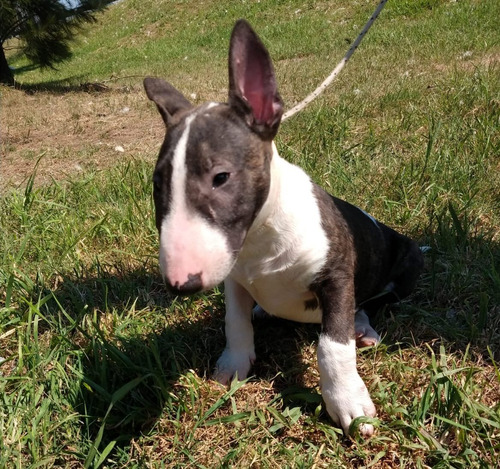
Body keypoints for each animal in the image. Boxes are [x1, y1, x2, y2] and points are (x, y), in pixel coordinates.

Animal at [144, 18, 422, 436]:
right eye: (158, 184)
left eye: (221, 177)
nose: (181, 284)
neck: (260, 239)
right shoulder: (234, 279)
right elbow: (235, 320)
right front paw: (232, 365)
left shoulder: (337, 275)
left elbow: (332, 345)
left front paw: (348, 402)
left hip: (406, 268)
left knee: (370, 305)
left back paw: (363, 329)